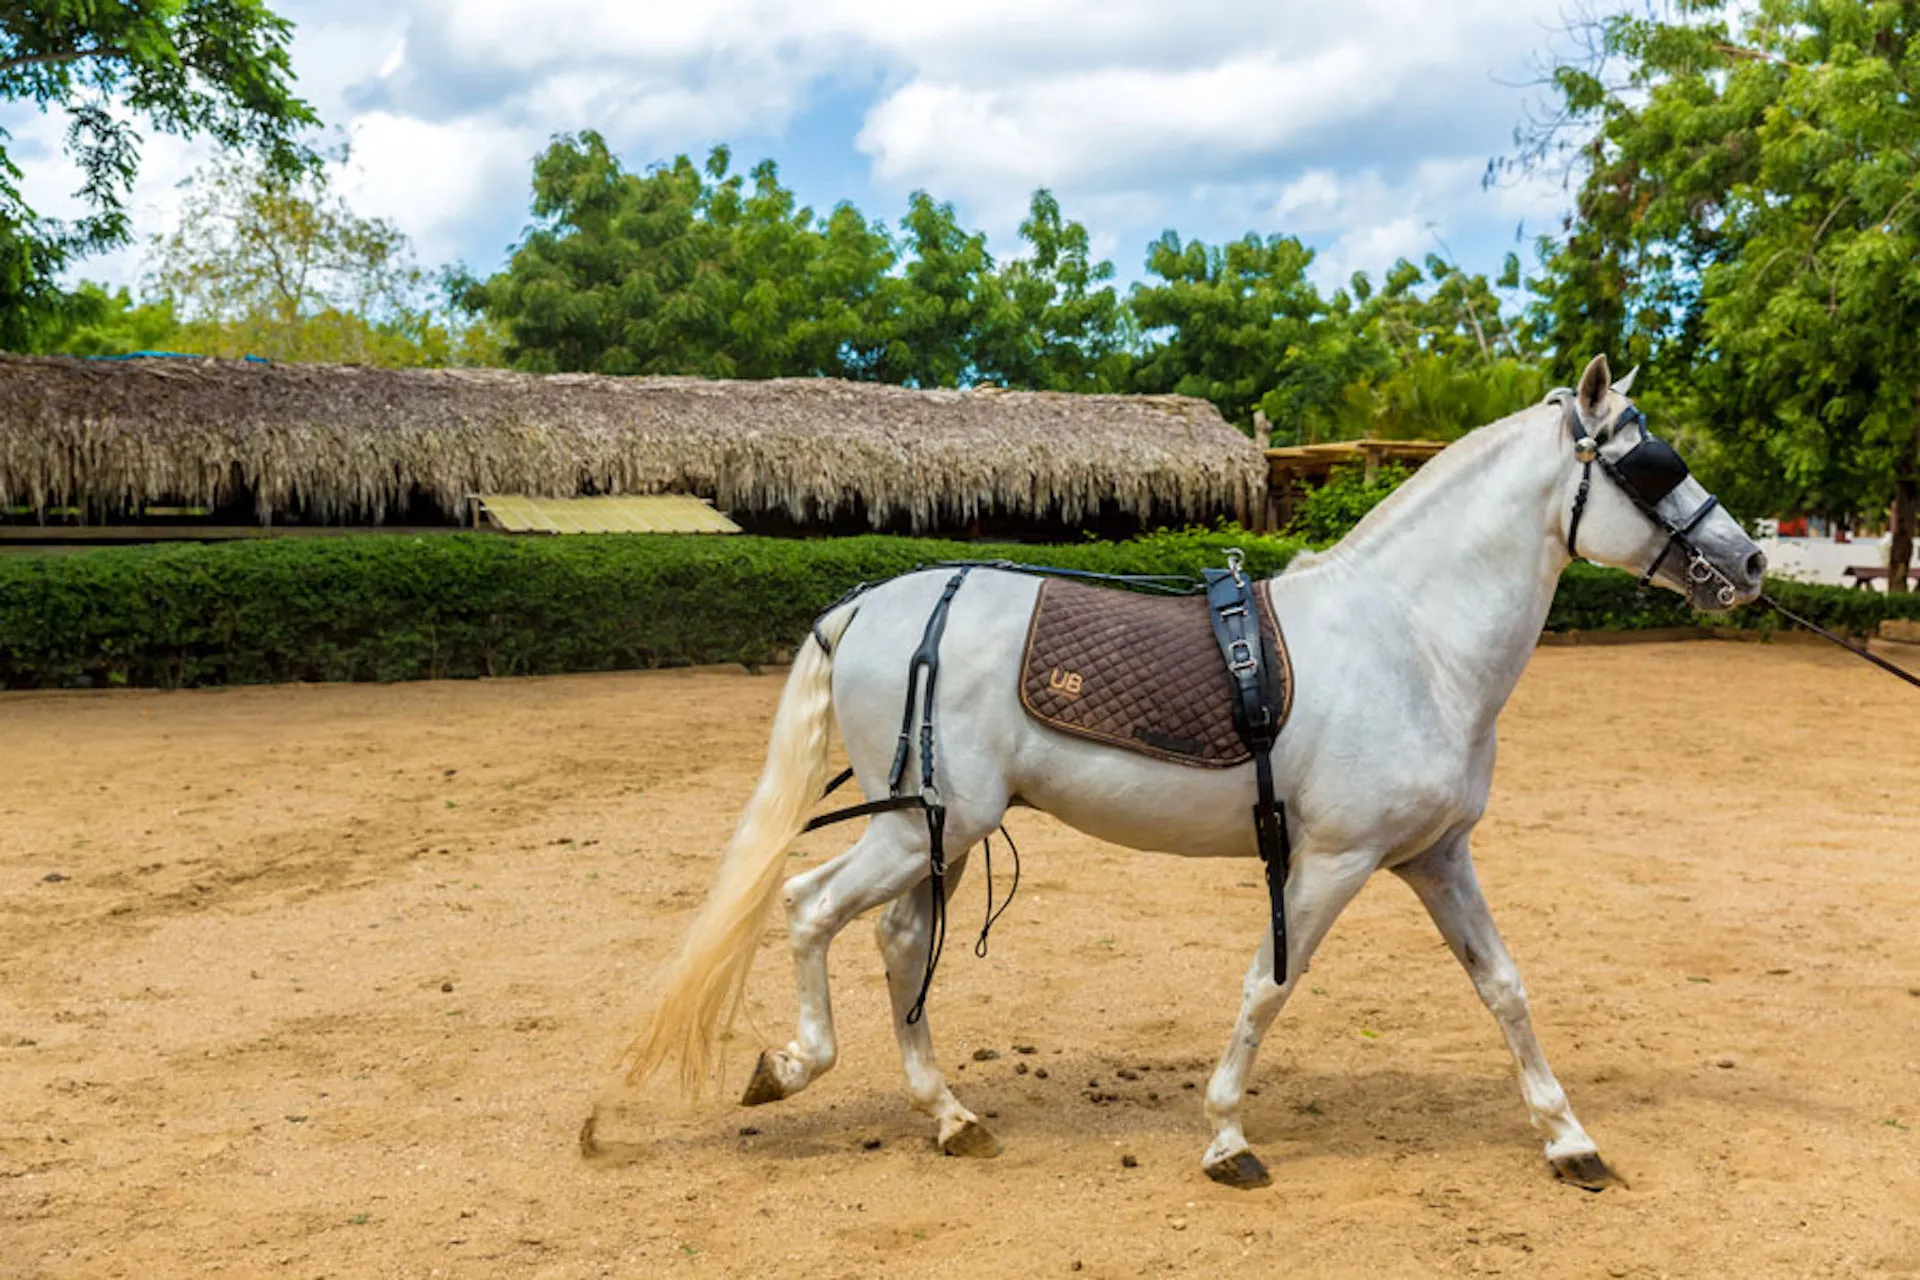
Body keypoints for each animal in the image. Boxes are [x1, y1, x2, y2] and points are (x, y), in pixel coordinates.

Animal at [617, 354, 1766, 1189]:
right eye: (1653, 464)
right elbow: (1270, 984)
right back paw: (795, 1065)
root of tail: (872, 602)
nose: (1750, 562)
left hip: (942, 831)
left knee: (898, 945)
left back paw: (948, 1116)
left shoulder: (1436, 858)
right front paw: (1225, 1137)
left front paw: (1568, 1136)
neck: (1409, 638)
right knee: (811, 908)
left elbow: (1505, 987)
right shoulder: (1331, 862)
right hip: (917, 825)